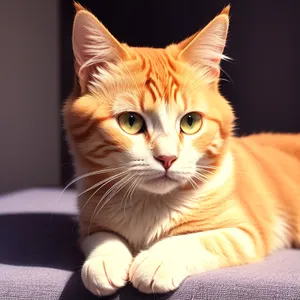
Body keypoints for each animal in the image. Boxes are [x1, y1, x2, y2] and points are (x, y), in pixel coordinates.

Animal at [63, 2, 300, 296]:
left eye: (190, 122)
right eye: (130, 121)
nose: (167, 158)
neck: (150, 205)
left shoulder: (245, 232)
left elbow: (195, 239)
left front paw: (157, 260)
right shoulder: (89, 222)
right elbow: (102, 237)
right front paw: (105, 260)